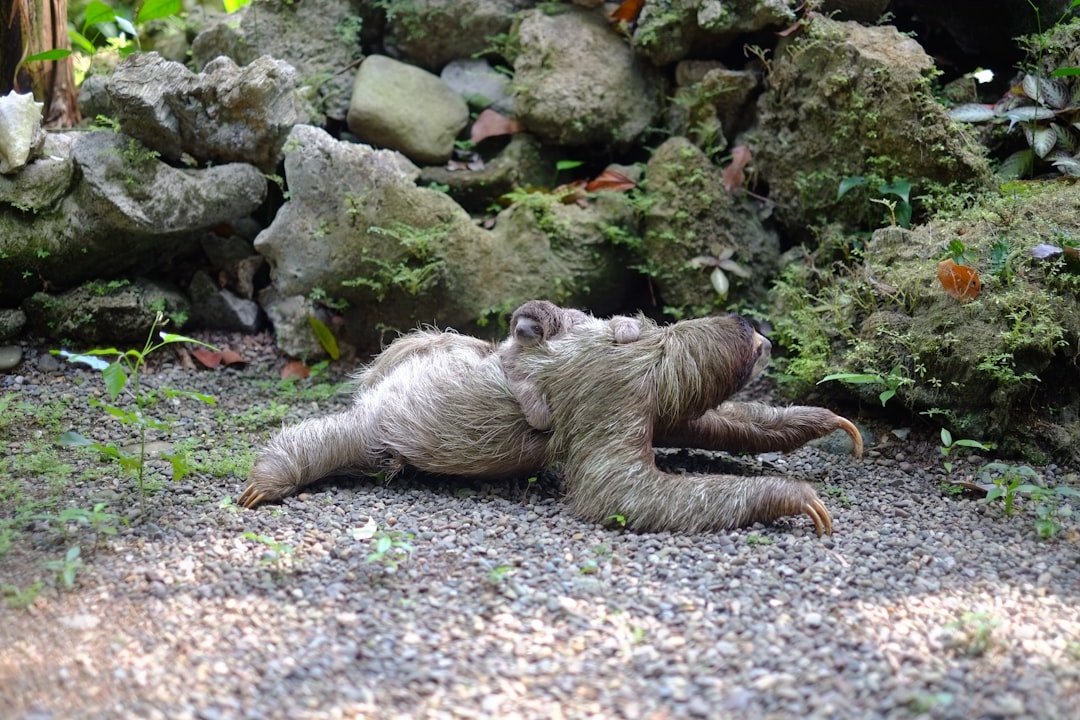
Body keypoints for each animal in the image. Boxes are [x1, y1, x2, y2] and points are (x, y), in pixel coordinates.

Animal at [239, 305, 863, 536]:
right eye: (755, 345)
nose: (767, 340)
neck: (659, 351)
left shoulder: (656, 401)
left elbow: (710, 423)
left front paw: (822, 418)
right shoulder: (618, 392)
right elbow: (620, 489)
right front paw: (791, 495)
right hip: (380, 426)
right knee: (334, 439)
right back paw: (270, 478)